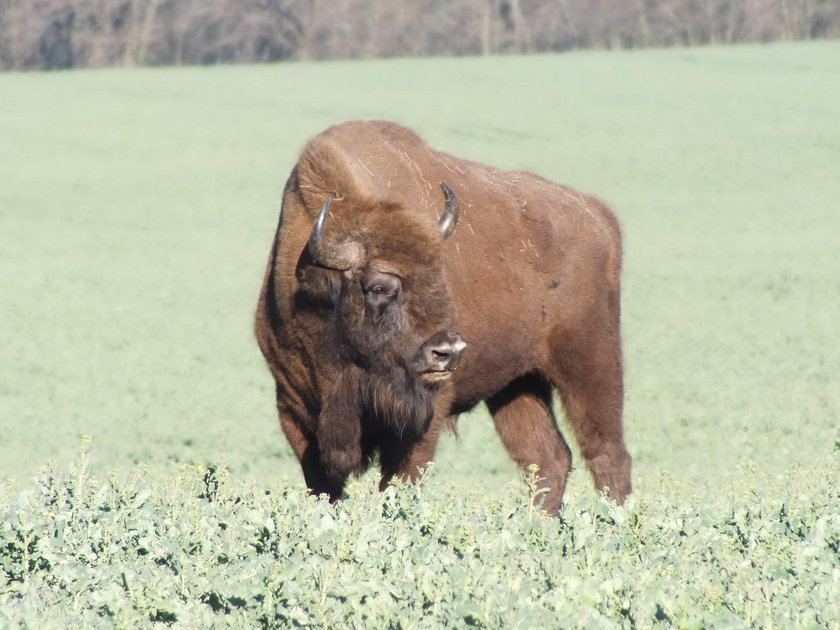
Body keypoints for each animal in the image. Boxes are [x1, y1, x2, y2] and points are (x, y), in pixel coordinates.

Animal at [254, 121, 632, 516]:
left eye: (441, 274)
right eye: (378, 287)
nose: (448, 352)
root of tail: (597, 214)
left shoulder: (422, 420)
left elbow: (401, 482)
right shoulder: (294, 408)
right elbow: (324, 486)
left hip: (592, 365)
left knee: (607, 453)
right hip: (518, 385)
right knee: (548, 457)